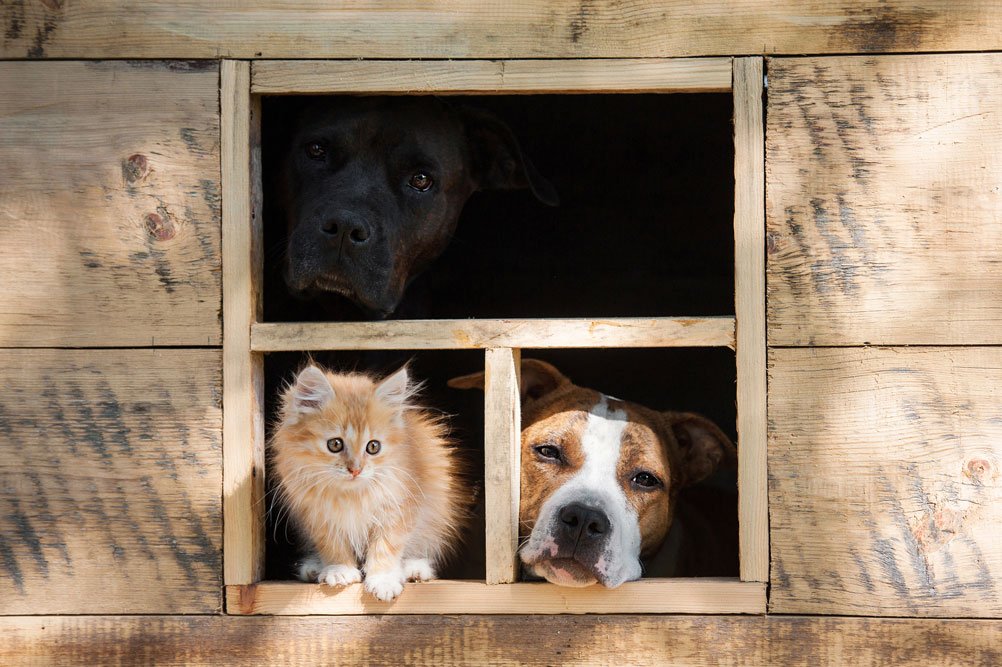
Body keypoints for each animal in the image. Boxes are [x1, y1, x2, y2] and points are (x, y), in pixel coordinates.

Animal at [270, 360, 464, 600]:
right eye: (335, 444)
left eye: (373, 447)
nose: (355, 470)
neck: (350, 494)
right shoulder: (316, 514)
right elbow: (332, 544)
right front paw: (339, 570)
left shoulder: (398, 509)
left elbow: (387, 546)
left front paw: (383, 580)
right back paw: (314, 567)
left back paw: (413, 569)